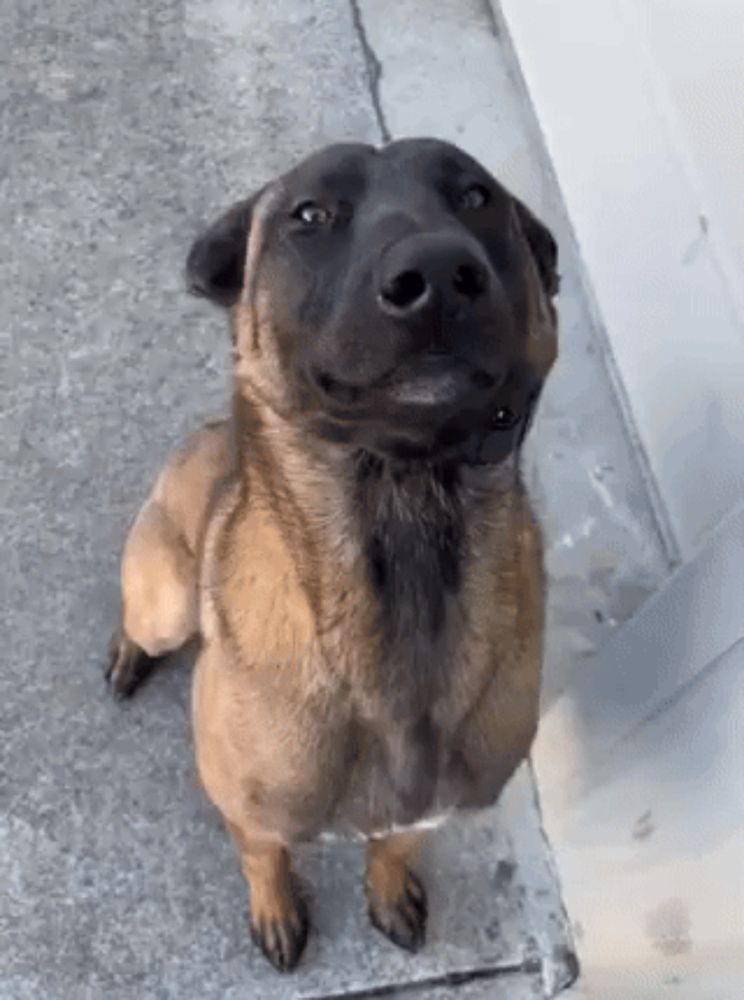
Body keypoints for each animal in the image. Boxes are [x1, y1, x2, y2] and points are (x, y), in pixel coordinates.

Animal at [106, 137, 560, 972]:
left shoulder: (429, 811)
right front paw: (278, 908)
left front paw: (387, 886)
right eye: (310, 214)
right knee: (143, 618)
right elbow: (265, 858)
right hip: (166, 600)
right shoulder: (250, 813)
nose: (436, 273)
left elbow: (394, 844)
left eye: (476, 196)